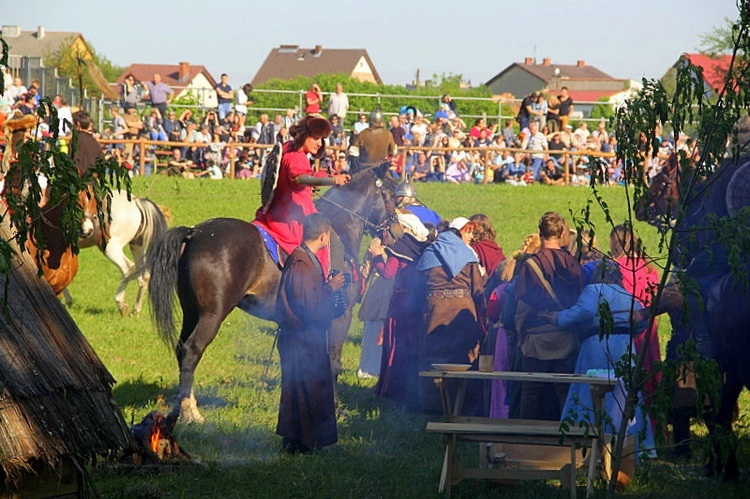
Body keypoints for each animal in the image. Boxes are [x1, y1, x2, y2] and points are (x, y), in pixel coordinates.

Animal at [146, 163, 394, 422]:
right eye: (390, 192)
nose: (395, 227)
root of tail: (195, 232)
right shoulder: (339, 316)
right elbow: (333, 362)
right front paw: (334, 408)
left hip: (191, 311)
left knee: (180, 349)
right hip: (211, 315)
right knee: (191, 351)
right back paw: (190, 411)